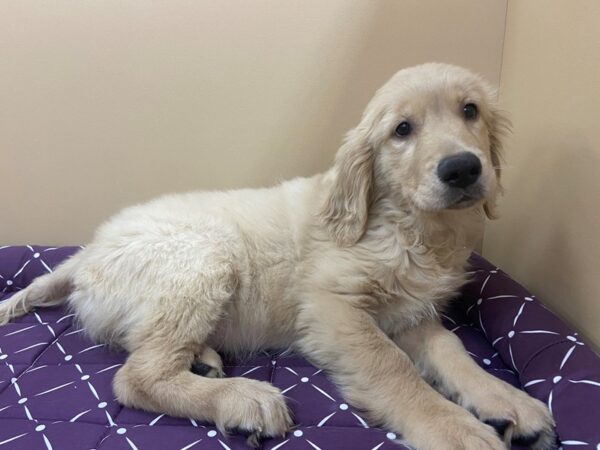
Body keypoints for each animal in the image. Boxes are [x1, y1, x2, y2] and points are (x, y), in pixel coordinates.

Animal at [0, 64, 556, 450]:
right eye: (402, 130)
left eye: (470, 111)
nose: (462, 168)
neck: (409, 227)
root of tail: (88, 251)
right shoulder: (334, 310)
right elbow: (393, 368)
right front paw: (452, 428)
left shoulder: (410, 313)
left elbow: (452, 351)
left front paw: (506, 400)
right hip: (202, 260)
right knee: (135, 377)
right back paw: (244, 397)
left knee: (141, 347)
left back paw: (204, 360)